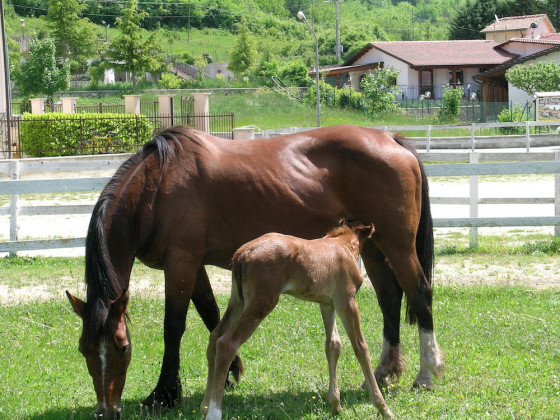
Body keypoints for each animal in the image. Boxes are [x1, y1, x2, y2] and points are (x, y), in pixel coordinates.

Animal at [201, 221, 394, 418]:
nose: (386, 260)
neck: (344, 245)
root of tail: (244, 252)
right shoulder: (346, 302)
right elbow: (361, 348)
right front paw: (383, 408)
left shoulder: (327, 303)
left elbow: (333, 345)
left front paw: (335, 405)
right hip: (261, 302)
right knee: (227, 342)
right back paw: (214, 412)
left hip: (238, 301)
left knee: (215, 336)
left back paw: (205, 405)